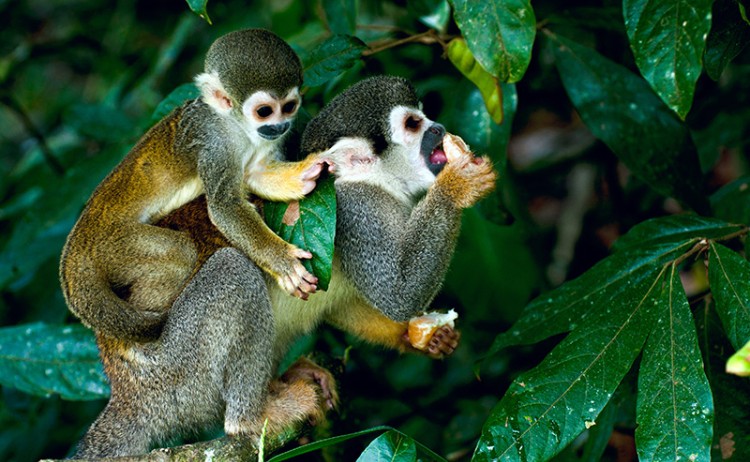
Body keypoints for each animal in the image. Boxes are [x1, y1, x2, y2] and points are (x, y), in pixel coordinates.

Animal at [59, 29, 327, 346]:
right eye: (265, 111)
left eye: (288, 107)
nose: (280, 126)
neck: (235, 126)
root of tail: (78, 243)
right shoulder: (214, 143)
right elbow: (225, 207)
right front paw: (282, 261)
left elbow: (254, 174)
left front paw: (305, 173)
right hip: (113, 246)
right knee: (181, 252)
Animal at [72, 75, 497, 458]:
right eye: (413, 124)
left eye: (424, 116)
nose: (439, 128)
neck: (377, 182)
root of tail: (127, 392)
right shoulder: (357, 211)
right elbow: (397, 294)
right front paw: (457, 184)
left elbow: (346, 303)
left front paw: (416, 335)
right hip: (176, 374)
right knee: (233, 271)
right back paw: (250, 417)